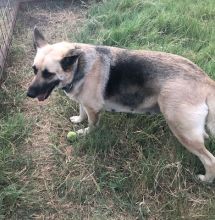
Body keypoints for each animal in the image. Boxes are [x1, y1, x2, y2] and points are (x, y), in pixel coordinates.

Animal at [27, 27, 215, 182]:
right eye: (34, 70)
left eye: (48, 74)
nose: (29, 94)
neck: (78, 65)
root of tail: (205, 81)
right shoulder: (84, 102)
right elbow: (81, 112)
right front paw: (78, 120)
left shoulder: (93, 109)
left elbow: (91, 125)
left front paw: (85, 133)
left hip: (182, 130)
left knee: (210, 160)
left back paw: (205, 179)